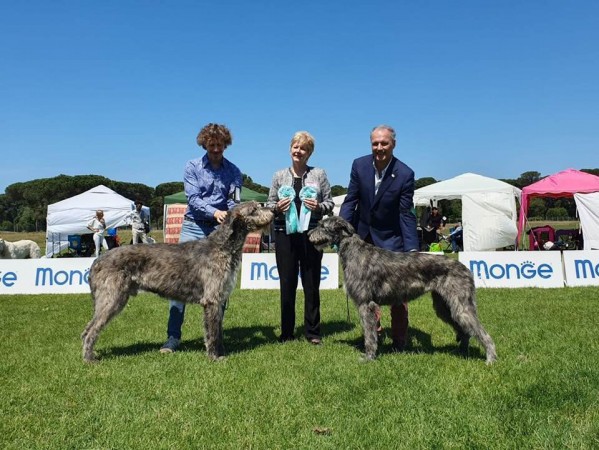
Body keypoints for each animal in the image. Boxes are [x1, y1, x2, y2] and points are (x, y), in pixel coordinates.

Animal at [82, 202, 274, 364]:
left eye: (259, 206)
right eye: (254, 209)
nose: (273, 210)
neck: (223, 246)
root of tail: (97, 261)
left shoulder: (219, 299)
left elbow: (218, 331)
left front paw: (222, 352)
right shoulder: (211, 300)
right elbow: (212, 332)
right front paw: (214, 357)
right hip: (111, 298)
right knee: (90, 330)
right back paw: (89, 358)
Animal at [310, 215, 496, 366]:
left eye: (322, 226)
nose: (308, 234)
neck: (353, 251)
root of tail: (466, 269)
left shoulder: (365, 304)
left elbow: (369, 334)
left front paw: (368, 357)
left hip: (460, 305)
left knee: (480, 332)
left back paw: (490, 359)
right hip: (443, 306)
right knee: (464, 331)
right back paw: (462, 352)